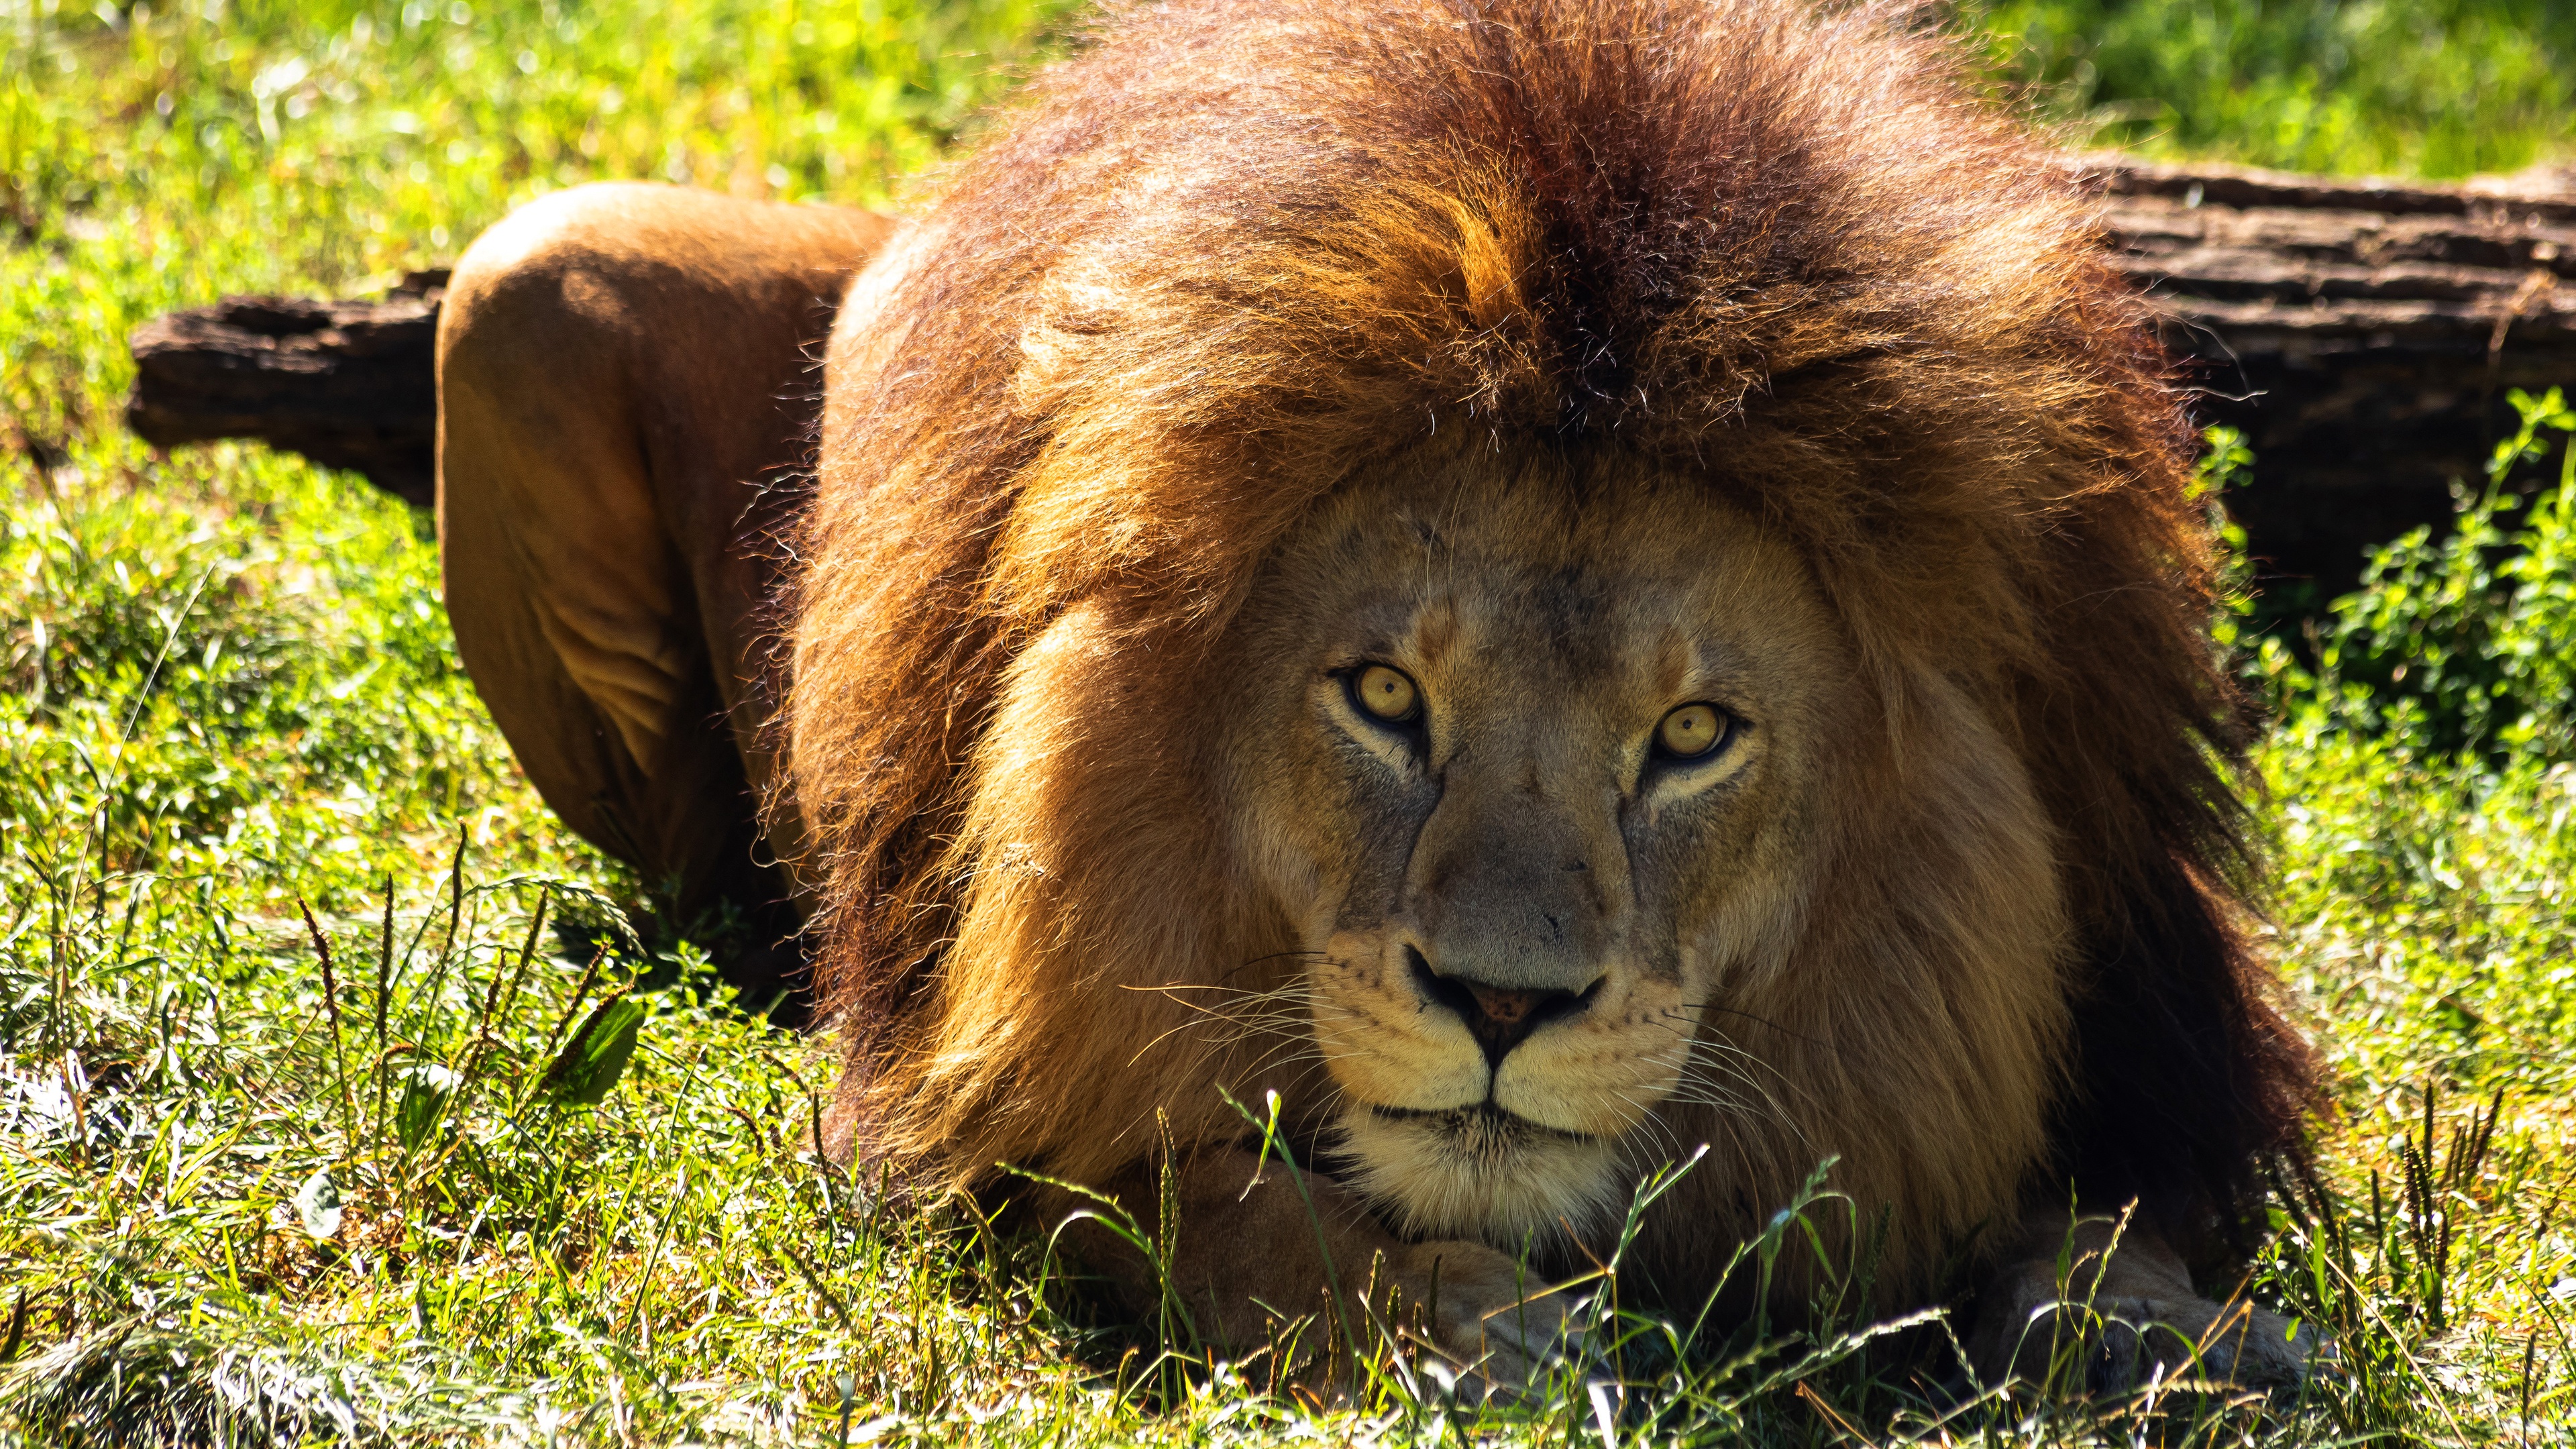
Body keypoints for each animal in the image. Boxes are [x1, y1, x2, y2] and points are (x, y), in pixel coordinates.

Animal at [433, 0, 2328, 1382]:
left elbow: (2097, 1214)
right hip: (522, 292)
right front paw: (1460, 1323)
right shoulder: (959, 1103)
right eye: (1381, 697)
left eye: (1691, 737)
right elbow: (1210, 1206)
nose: (1501, 1004)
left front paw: (2168, 1331)